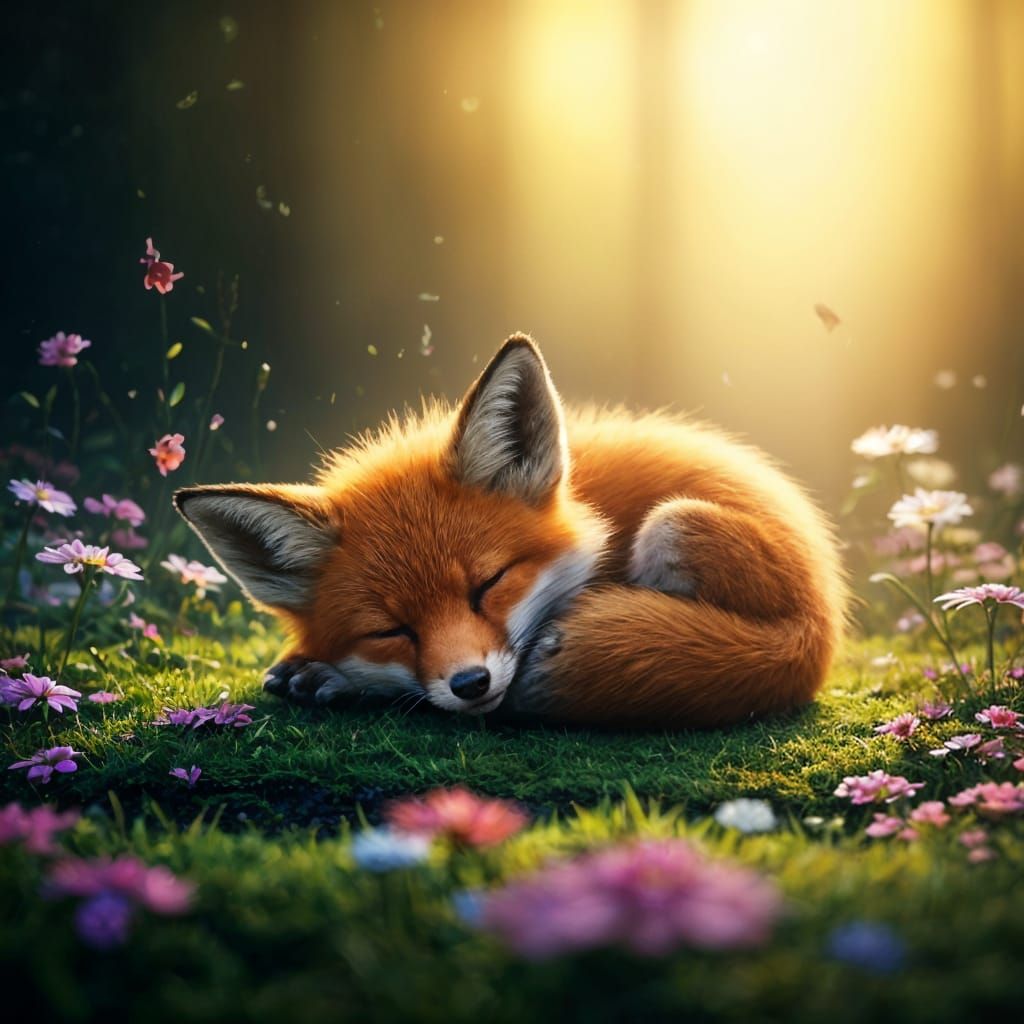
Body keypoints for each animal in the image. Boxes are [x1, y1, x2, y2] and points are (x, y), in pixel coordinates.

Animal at [173, 334, 847, 729]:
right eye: (391, 630)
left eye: (489, 584)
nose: (471, 684)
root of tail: (821, 625)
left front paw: (334, 678)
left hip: (674, 522)